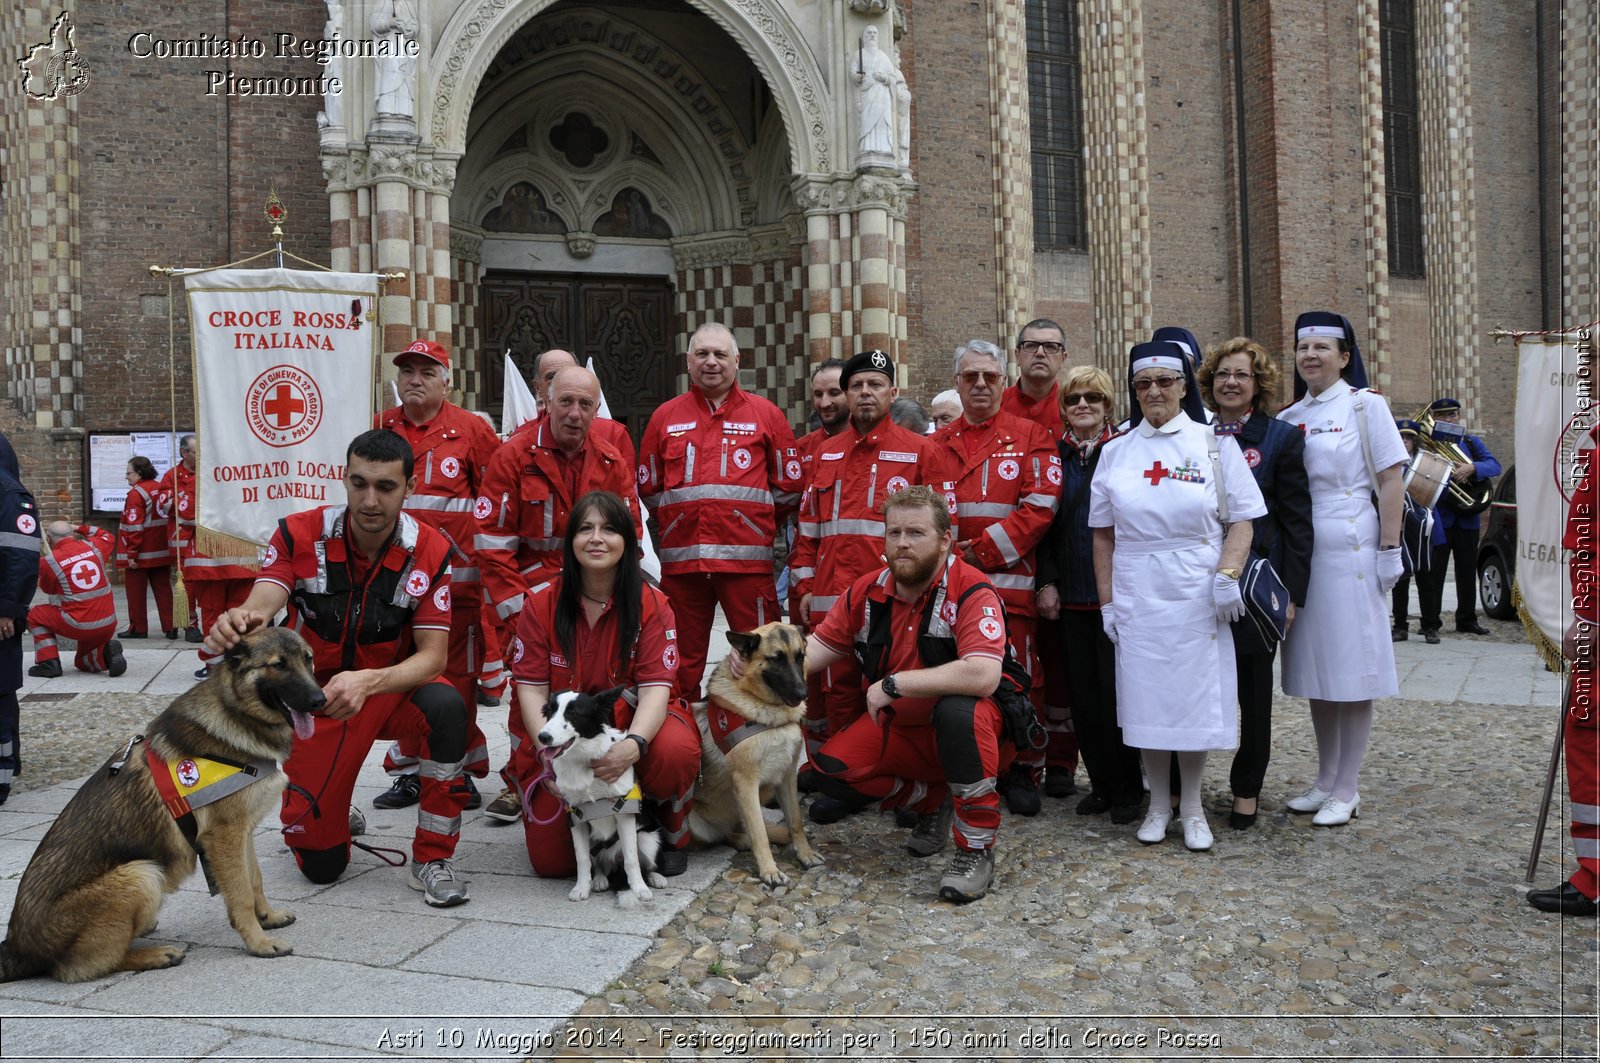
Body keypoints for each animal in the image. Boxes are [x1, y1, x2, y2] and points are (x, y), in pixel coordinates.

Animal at [0, 627, 324, 986]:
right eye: (278, 665)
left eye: (308, 659)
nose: (320, 701)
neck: (236, 713)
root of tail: (16, 947)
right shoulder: (224, 837)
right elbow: (240, 893)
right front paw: (258, 942)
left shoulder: (242, 833)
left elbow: (254, 879)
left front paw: (267, 917)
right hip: (141, 874)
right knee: (86, 966)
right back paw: (154, 955)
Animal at [537, 688, 662, 902]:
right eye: (551, 711)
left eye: (572, 713)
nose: (543, 737)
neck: (583, 761)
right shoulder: (576, 819)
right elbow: (582, 859)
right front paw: (581, 887)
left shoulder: (624, 814)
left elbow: (631, 859)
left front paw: (639, 888)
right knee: (599, 864)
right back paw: (599, 879)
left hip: (648, 839)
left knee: (646, 863)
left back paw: (655, 877)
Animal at [688, 624, 825, 890]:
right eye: (776, 659)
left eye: (800, 656)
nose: (803, 693)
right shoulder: (746, 784)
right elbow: (759, 831)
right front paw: (770, 870)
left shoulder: (787, 777)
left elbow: (795, 820)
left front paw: (804, 853)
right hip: (694, 822)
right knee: (729, 834)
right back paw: (744, 840)